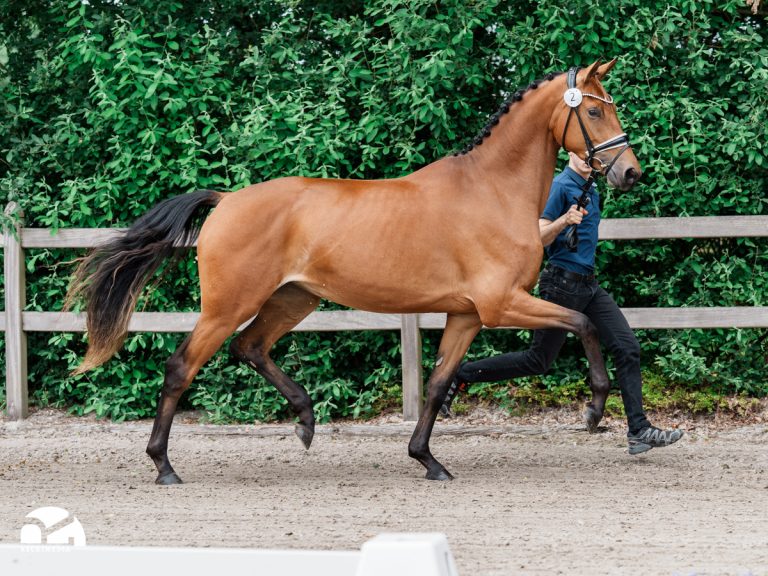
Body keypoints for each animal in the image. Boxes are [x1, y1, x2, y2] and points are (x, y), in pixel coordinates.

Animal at [67, 59, 641, 484]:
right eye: (594, 110)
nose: (630, 172)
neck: (491, 191)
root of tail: (226, 200)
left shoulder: (467, 315)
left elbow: (438, 383)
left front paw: (427, 460)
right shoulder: (502, 304)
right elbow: (583, 323)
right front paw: (595, 407)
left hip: (294, 299)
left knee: (250, 348)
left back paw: (305, 421)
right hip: (229, 305)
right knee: (181, 367)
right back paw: (164, 465)